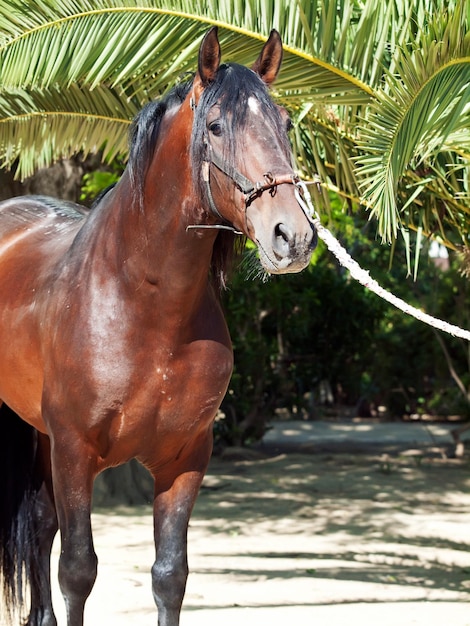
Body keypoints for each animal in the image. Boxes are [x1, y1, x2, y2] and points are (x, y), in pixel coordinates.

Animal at [0, 28, 316, 624]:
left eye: (285, 123)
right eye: (215, 127)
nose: (293, 235)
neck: (144, 308)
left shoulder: (185, 456)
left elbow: (170, 576)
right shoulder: (75, 451)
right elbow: (78, 570)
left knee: (40, 527)